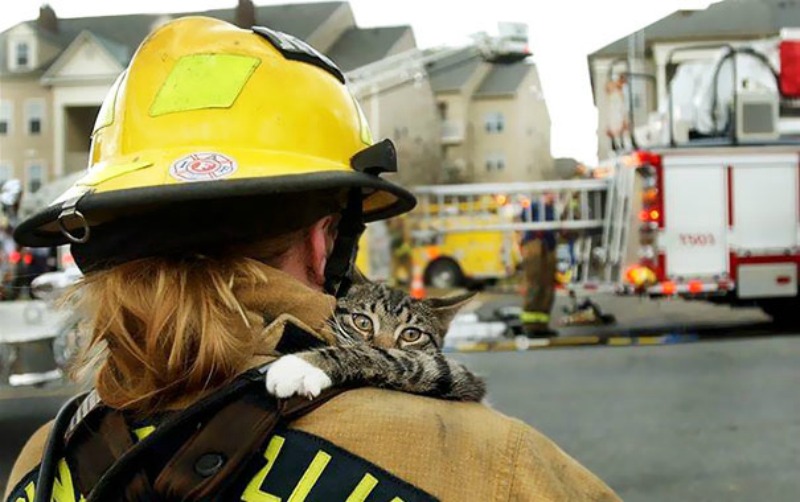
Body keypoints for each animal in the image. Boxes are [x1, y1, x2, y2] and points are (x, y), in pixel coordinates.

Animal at [266, 280, 484, 402]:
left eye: (411, 335)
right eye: (362, 322)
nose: (382, 345)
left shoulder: (455, 373)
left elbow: (395, 358)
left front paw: (301, 366)